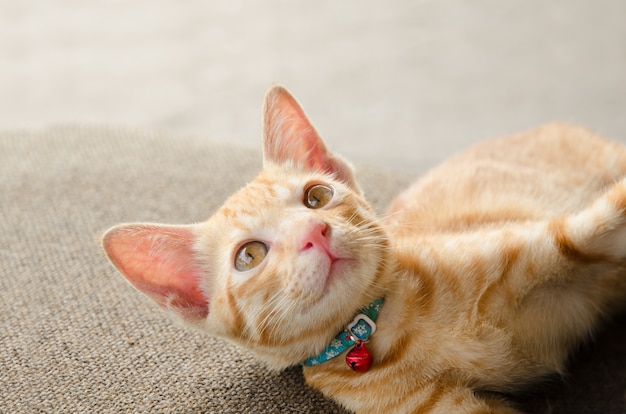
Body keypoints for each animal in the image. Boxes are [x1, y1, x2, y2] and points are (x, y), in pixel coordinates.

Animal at [102, 85, 624, 412]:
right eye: (249, 256)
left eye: (316, 197)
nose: (314, 231)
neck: (382, 324)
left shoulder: (562, 237)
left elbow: (612, 210)